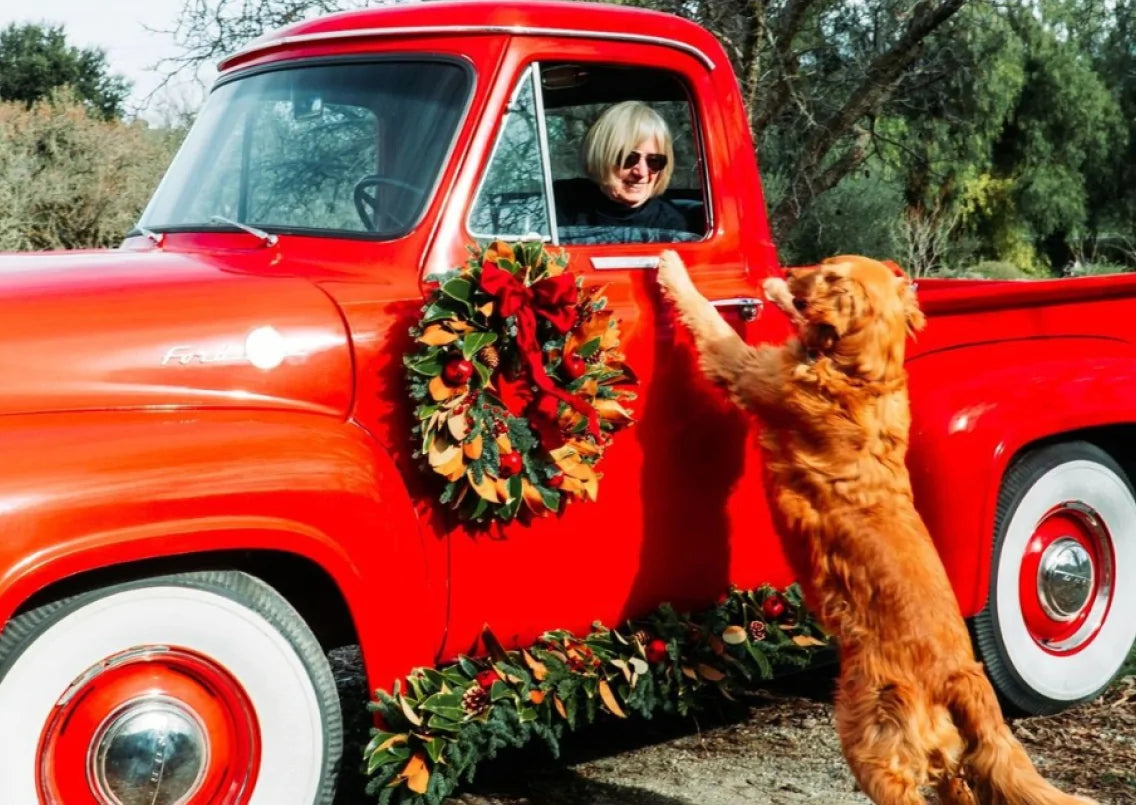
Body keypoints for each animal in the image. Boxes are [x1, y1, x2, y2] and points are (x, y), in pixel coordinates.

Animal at [658, 247, 1099, 799]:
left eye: (827, 271)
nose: (788, 271)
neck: (864, 375)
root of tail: (961, 676)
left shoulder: (744, 369)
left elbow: (708, 319)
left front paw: (673, 268)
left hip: (869, 736)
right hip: (942, 759)